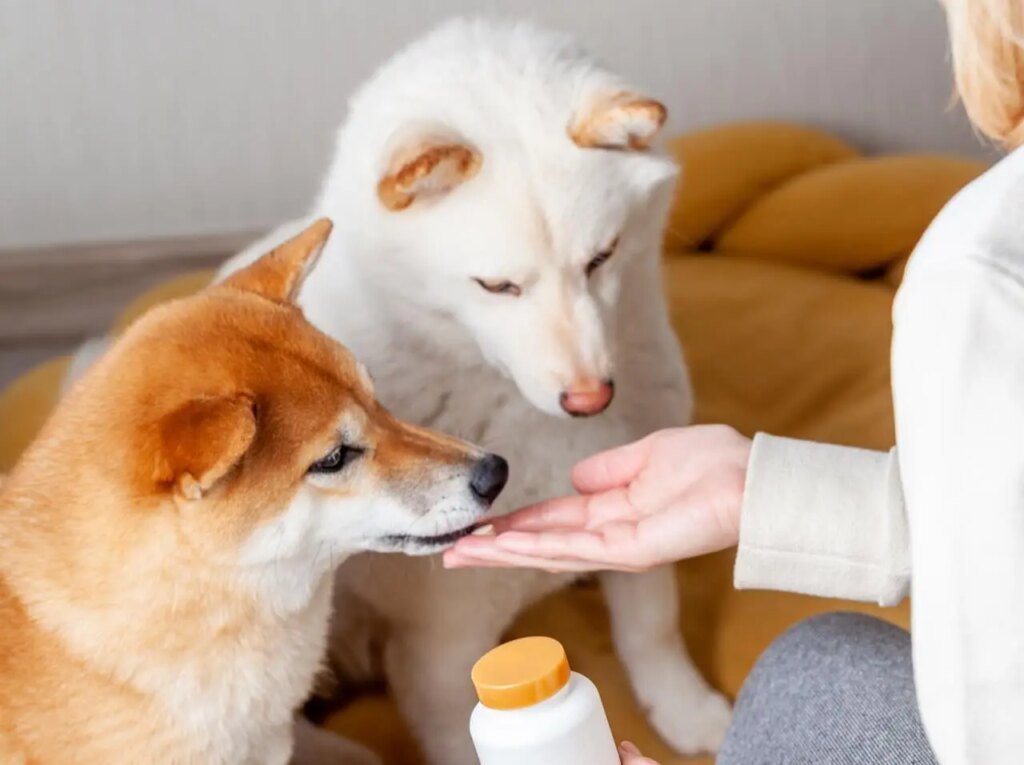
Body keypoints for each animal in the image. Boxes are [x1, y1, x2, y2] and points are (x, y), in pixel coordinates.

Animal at [221, 17, 733, 765]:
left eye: (602, 259)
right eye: (497, 286)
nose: (591, 399)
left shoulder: (633, 540)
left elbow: (653, 629)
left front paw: (688, 711)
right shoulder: (439, 651)